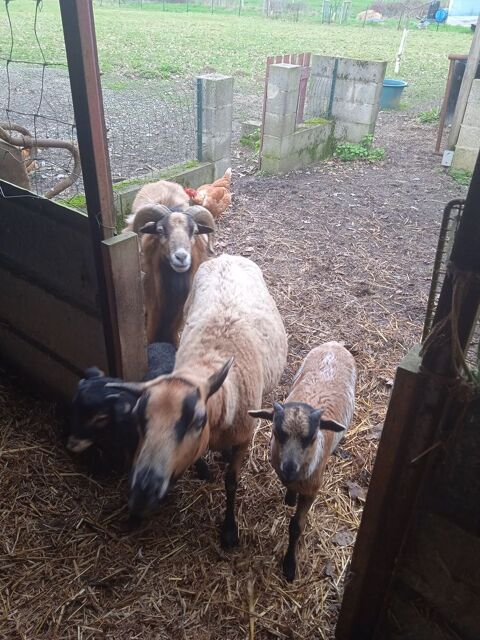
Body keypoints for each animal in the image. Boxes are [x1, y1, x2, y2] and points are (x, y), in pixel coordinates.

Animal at [108, 254, 288, 548]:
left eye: (197, 420)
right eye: (138, 419)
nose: (142, 493)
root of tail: (227, 256)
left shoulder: (243, 440)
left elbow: (231, 482)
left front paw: (229, 531)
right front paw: (203, 469)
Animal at [249, 341, 356, 581]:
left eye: (311, 438)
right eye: (277, 433)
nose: (289, 467)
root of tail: (335, 344)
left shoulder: (311, 490)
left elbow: (297, 526)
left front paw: (289, 565)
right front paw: (289, 498)